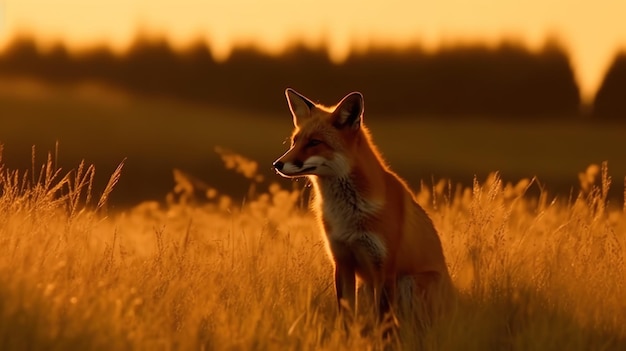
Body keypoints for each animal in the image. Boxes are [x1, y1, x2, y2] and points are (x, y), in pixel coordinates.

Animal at [270, 89, 450, 326]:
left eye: (314, 142)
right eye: (295, 141)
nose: (277, 164)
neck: (350, 212)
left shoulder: (384, 267)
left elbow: (384, 324)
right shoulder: (342, 261)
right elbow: (345, 317)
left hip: (409, 282)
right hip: (366, 287)